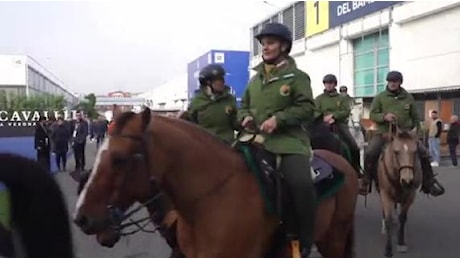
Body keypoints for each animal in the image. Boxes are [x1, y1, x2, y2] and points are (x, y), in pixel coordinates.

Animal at [378, 126, 420, 258]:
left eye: (415, 152)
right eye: (396, 152)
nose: (407, 181)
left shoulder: (410, 196)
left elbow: (403, 217)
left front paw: (401, 242)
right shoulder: (385, 195)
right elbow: (388, 219)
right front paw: (388, 250)